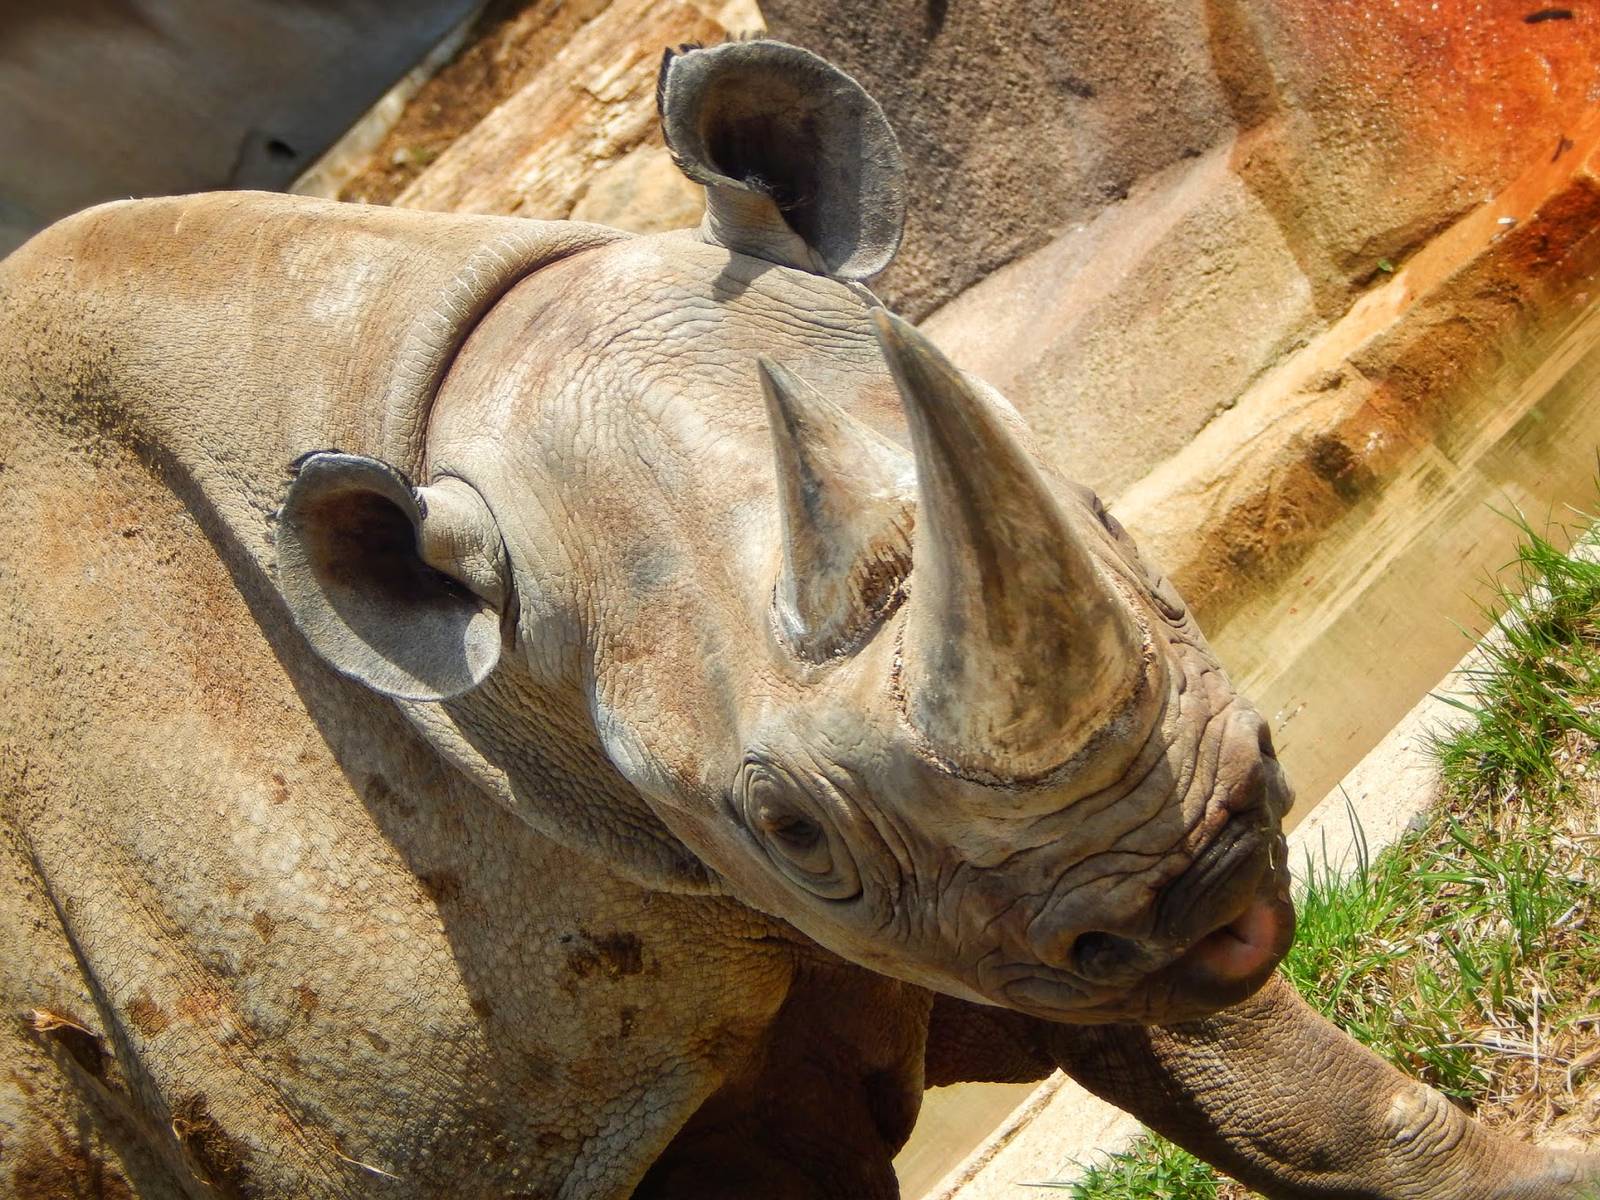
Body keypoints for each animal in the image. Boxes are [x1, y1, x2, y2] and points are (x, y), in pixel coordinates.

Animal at [0, 37, 1592, 1200]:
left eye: (1106, 518)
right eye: (788, 831)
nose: (1197, 880)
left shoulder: (1029, 886)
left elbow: (1276, 1083)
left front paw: (1534, 1179)